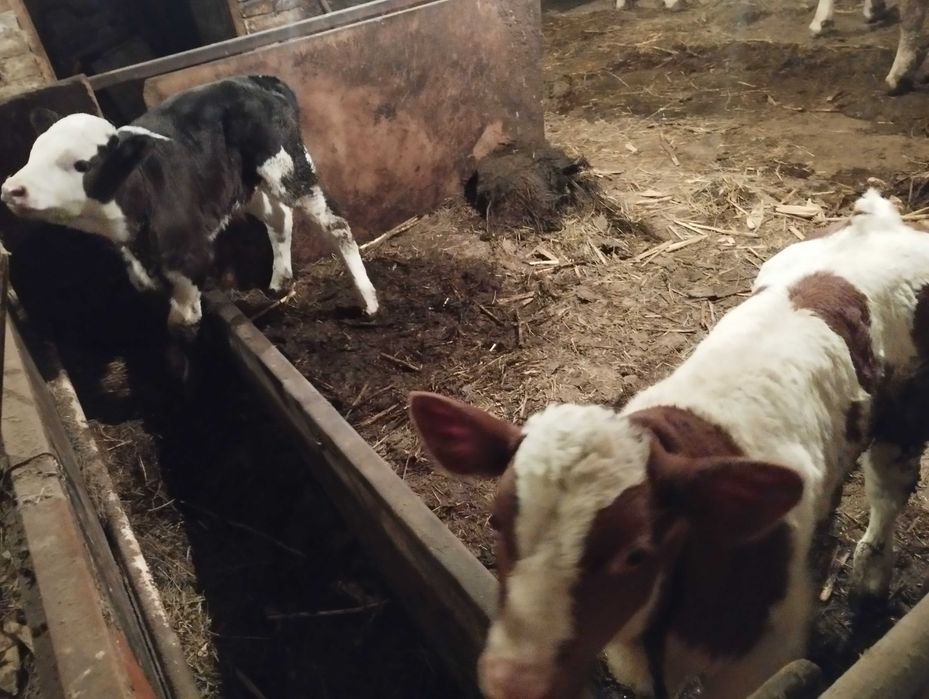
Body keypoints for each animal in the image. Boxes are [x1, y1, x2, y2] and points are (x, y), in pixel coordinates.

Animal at [0, 74, 380, 335]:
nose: (11, 189)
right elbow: (144, 284)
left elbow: (182, 312)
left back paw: (368, 299)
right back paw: (279, 281)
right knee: (278, 217)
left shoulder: (189, 249)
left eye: (81, 164)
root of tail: (254, 80)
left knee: (334, 223)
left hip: (286, 164)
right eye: (33, 152)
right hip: (243, 183)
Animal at [409, 189, 929, 699]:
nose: (512, 681)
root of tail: (880, 218)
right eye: (497, 522)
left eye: (636, 553)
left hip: (906, 417)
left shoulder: (762, 658)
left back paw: (870, 580)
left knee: (889, 488)